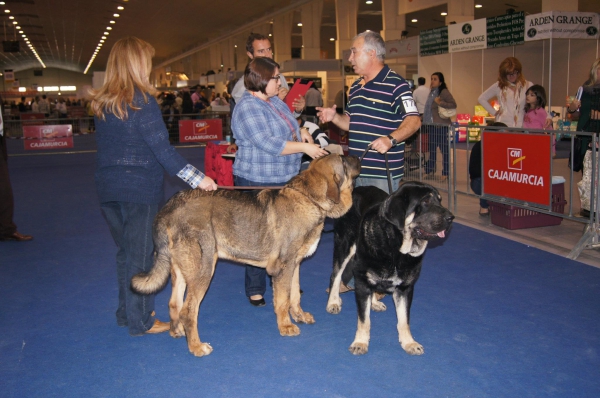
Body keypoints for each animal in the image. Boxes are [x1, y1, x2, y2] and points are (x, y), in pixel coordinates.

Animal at [134, 154, 358, 356]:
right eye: (344, 160)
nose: (358, 158)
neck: (309, 198)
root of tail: (170, 207)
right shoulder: (283, 267)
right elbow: (283, 300)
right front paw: (286, 326)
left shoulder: (295, 265)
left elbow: (294, 296)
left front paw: (299, 316)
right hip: (203, 270)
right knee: (188, 311)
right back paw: (196, 347)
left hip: (181, 270)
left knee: (174, 304)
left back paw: (178, 331)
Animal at [326, 182, 452, 356]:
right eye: (425, 202)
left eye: (440, 200)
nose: (451, 218)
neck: (396, 248)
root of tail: (355, 189)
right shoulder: (362, 282)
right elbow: (364, 320)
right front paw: (360, 342)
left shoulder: (405, 288)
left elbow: (404, 319)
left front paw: (409, 342)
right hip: (344, 246)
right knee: (336, 275)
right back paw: (333, 302)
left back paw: (374, 302)